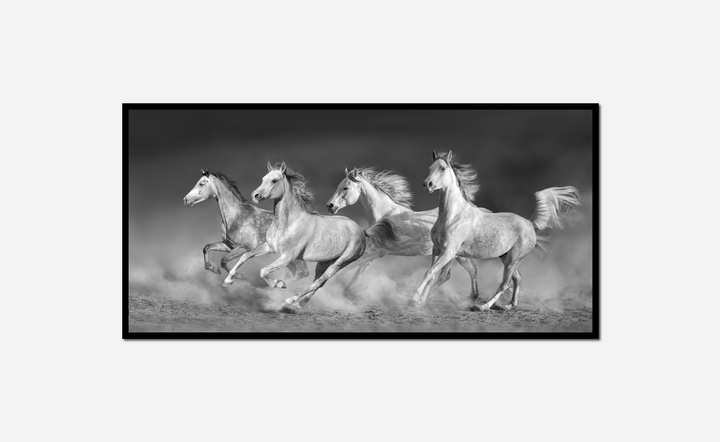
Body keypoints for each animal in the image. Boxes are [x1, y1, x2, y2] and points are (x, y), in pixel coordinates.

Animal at [223, 162, 413, 311]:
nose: (255, 195)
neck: (289, 223)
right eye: (263, 178)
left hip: (340, 262)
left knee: (320, 281)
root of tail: (362, 231)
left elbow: (263, 271)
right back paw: (297, 304)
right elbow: (246, 255)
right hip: (324, 262)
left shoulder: (287, 257)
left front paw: (279, 283)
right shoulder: (269, 247)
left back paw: (290, 300)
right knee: (318, 282)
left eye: (274, 180)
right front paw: (228, 280)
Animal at [326, 167, 491, 298]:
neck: (385, 215)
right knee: (467, 270)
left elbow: (351, 267)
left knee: (448, 275)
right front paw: (344, 290)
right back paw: (472, 297)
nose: (330, 205)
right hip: (458, 255)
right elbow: (356, 272)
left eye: (346, 188)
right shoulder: (373, 254)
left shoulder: (377, 251)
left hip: (451, 254)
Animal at [411, 151, 581, 311]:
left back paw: (482, 307)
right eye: (430, 168)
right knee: (517, 278)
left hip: (512, 260)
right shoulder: (438, 250)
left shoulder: (448, 252)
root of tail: (530, 223)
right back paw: (508, 306)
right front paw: (420, 301)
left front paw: (415, 299)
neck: (453, 216)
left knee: (505, 284)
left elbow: (431, 272)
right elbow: (432, 275)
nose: (427, 184)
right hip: (506, 258)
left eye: (443, 168)